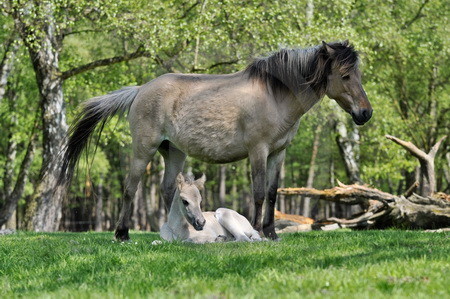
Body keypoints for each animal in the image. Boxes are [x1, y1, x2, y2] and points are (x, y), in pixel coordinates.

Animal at [58, 40, 370, 241]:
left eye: (358, 73)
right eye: (345, 75)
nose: (365, 113)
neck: (274, 95)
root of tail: (140, 89)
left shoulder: (278, 153)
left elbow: (272, 192)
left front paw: (271, 233)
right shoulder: (258, 151)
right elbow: (258, 192)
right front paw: (258, 231)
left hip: (174, 153)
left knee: (168, 189)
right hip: (142, 150)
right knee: (130, 188)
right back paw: (122, 234)